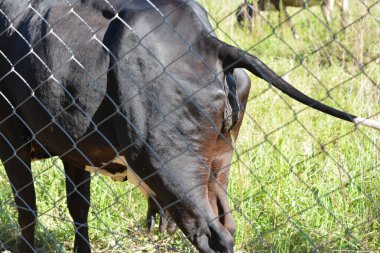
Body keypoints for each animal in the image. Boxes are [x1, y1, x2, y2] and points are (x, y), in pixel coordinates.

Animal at [0, 0, 378, 253]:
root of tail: (207, 40)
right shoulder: (74, 152)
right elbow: (78, 209)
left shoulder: (11, 143)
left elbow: (27, 211)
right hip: (216, 163)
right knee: (228, 224)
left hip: (168, 164)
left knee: (211, 235)